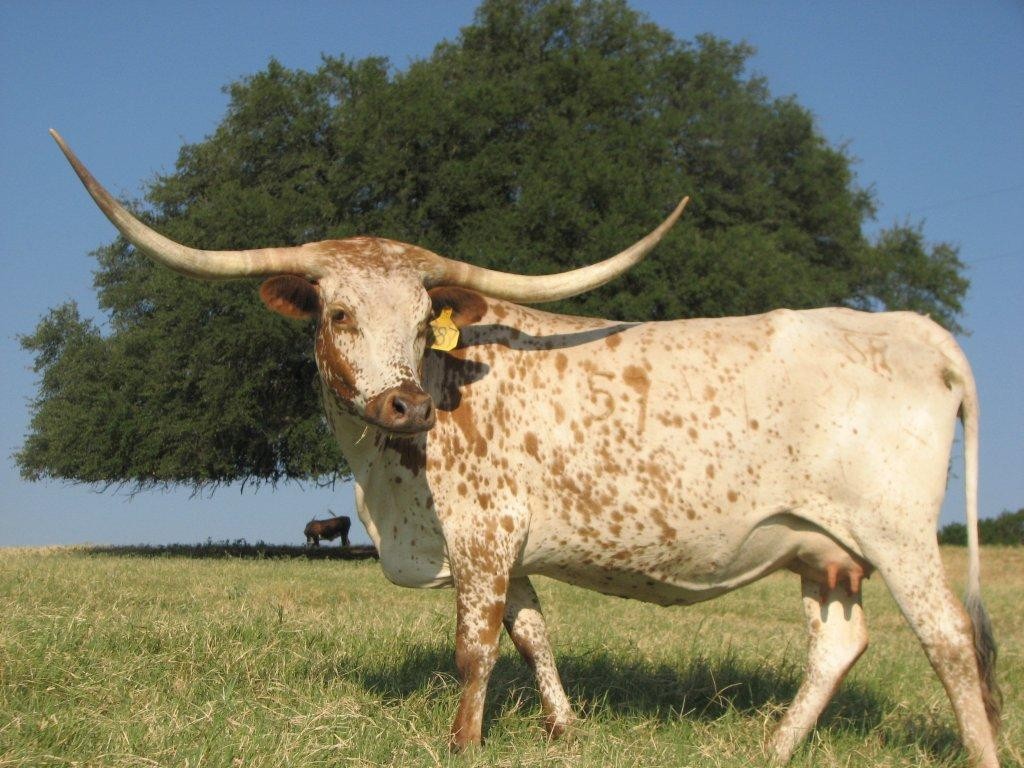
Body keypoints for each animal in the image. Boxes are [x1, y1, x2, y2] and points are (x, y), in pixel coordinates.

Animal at [51, 129, 1001, 766]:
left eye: (418, 320)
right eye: (339, 312)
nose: (401, 401)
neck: (387, 485)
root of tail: (917, 331)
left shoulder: (482, 532)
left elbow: (474, 645)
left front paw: (463, 742)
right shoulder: (512, 546)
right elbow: (533, 633)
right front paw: (562, 727)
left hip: (897, 532)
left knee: (952, 642)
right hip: (823, 547)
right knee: (839, 644)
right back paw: (771, 749)